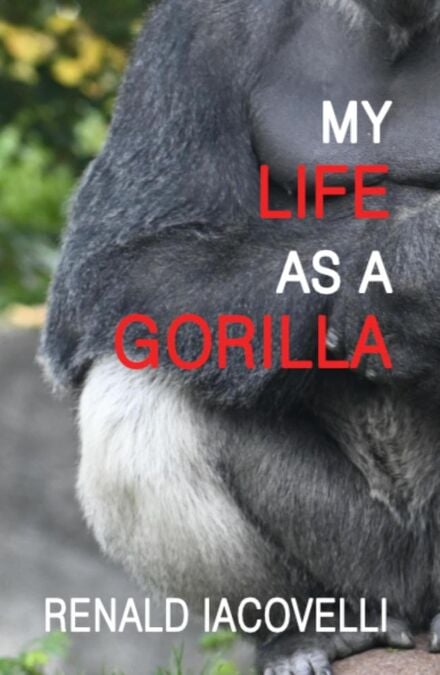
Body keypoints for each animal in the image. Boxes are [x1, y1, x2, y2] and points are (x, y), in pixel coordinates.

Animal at [40, 1, 440, 672]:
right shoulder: (195, 27)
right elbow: (125, 256)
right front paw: (406, 270)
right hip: (377, 567)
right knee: (142, 365)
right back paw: (306, 623)